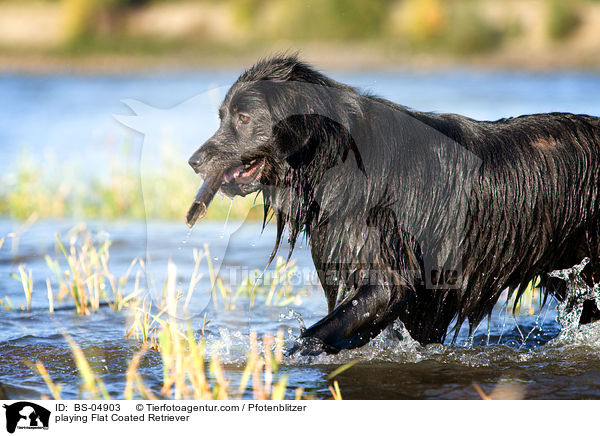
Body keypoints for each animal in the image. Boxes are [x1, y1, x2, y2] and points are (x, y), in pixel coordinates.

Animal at [185, 54, 596, 354]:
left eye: (243, 118)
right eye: (221, 117)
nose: (194, 161)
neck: (335, 158)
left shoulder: (391, 280)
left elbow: (317, 333)